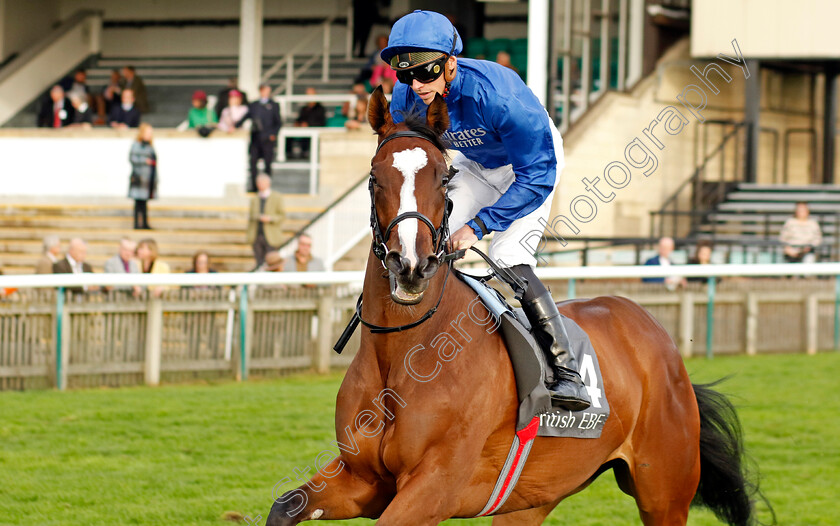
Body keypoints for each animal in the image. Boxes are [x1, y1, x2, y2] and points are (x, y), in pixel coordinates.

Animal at [268, 88, 760, 524]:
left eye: (444, 178)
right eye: (374, 177)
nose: (411, 266)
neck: (408, 351)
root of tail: (657, 337)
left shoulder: (434, 487)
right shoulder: (364, 479)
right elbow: (285, 506)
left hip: (664, 492)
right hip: (533, 498)